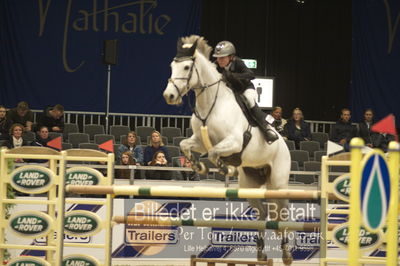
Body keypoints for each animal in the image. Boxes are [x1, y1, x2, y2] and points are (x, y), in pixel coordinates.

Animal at [162, 35, 290, 266]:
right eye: (171, 66)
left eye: (186, 67)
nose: (169, 95)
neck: (210, 103)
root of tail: (285, 143)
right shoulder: (199, 141)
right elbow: (186, 145)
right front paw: (199, 167)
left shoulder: (234, 142)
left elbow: (214, 153)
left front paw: (225, 168)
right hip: (250, 184)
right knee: (263, 213)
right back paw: (260, 251)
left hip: (278, 183)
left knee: (281, 215)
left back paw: (286, 253)